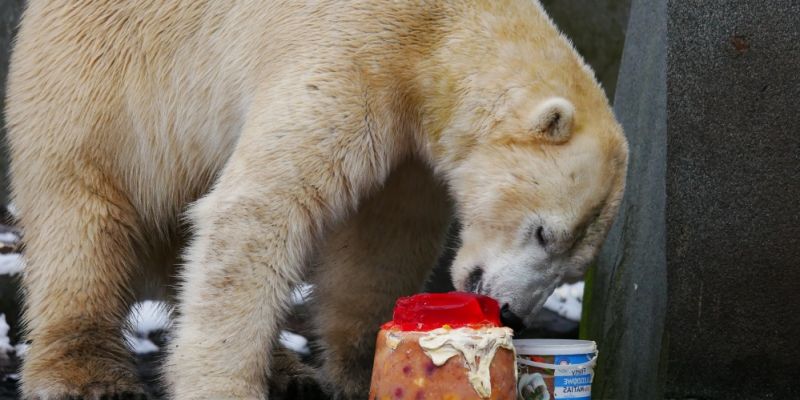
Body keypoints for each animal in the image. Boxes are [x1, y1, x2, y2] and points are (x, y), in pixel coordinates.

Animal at [9, 0, 628, 400]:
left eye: (572, 265)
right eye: (544, 231)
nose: (513, 312)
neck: (439, 32)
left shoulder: (413, 137)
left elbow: (381, 242)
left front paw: (358, 369)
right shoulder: (350, 53)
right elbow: (260, 208)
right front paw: (225, 387)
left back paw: (287, 369)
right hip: (103, 87)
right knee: (83, 223)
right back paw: (87, 375)